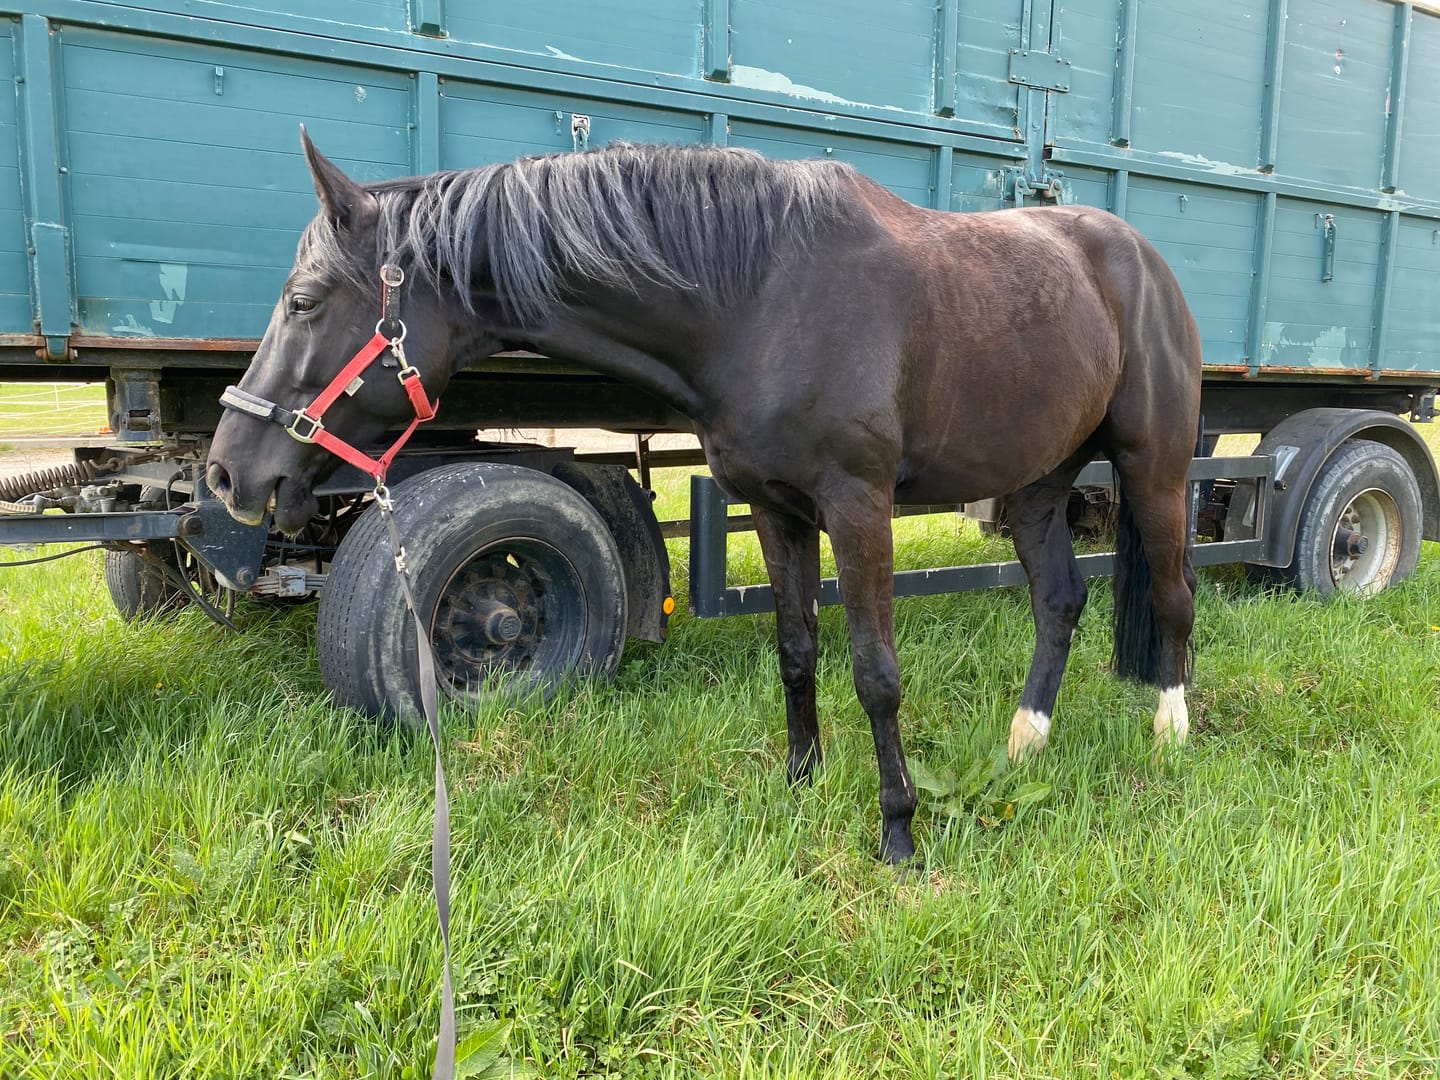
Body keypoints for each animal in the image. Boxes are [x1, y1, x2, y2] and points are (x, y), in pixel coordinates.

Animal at [207, 133, 1202, 864]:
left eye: (304, 300)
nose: (228, 474)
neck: (762, 298)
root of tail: (1142, 259)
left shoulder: (858, 507)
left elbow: (875, 673)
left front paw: (898, 830)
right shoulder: (776, 508)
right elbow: (797, 651)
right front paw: (801, 783)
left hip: (1154, 470)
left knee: (1174, 597)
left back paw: (1172, 732)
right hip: (1036, 483)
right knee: (1059, 599)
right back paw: (1026, 741)